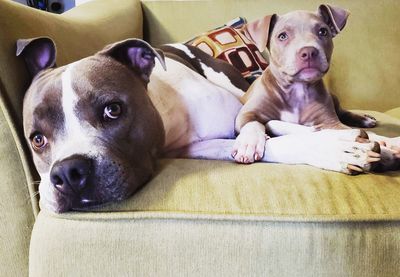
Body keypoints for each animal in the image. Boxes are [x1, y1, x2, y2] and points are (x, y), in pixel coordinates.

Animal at [16, 4, 396, 211]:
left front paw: (362, 142)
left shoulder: (237, 115)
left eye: (112, 110)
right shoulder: (201, 146)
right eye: (37, 139)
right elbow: (274, 140)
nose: (68, 173)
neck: (168, 115)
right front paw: (338, 148)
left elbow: (282, 129)